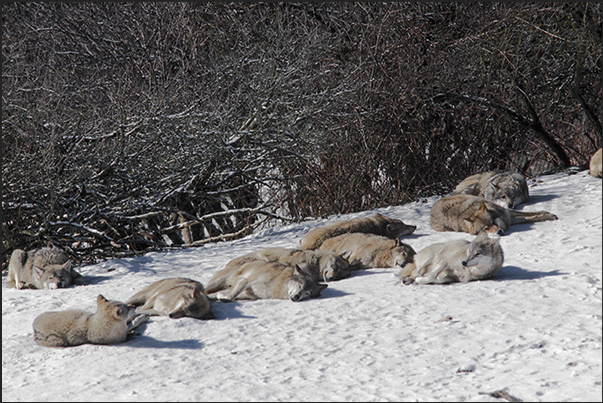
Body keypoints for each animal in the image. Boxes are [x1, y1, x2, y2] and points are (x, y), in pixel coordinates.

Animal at [432, 193, 560, 235]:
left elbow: (530, 213)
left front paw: (546, 213)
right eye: (485, 228)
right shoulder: (510, 219)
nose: (499, 232)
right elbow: (529, 218)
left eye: (493, 222)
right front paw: (546, 216)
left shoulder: (508, 213)